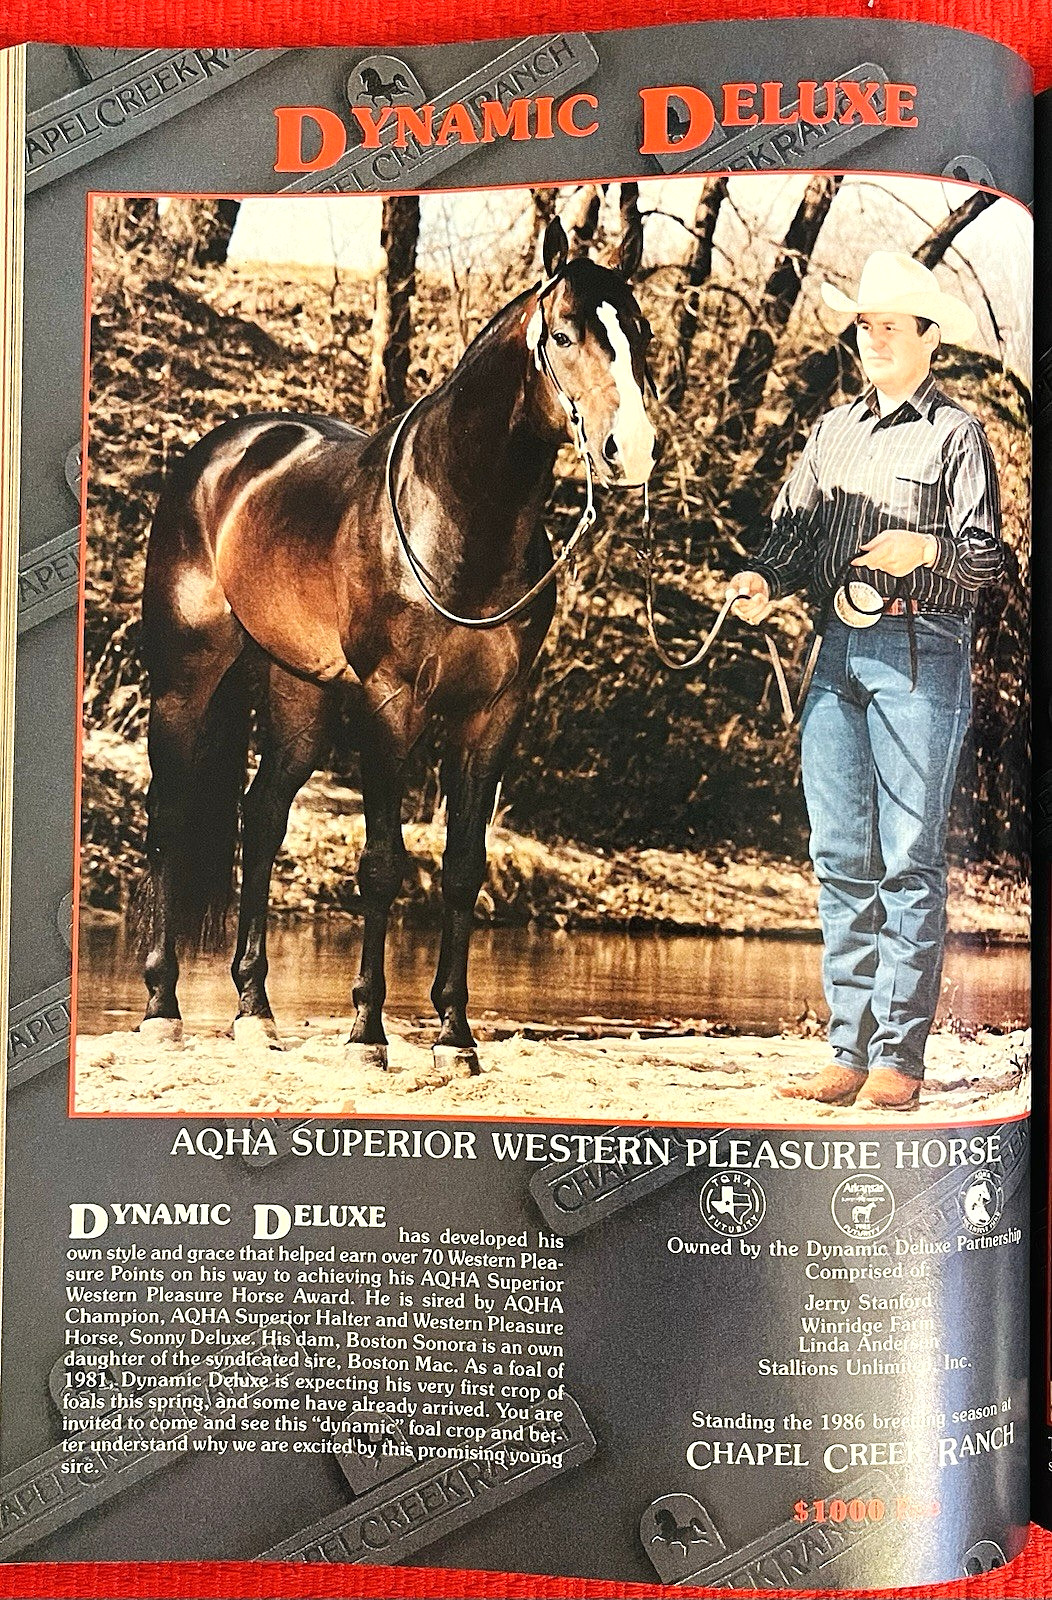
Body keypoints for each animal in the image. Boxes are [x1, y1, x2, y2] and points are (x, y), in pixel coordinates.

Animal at [136, 215, 657, 1074]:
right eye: (565, 332)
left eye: (640, 331)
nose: (631, 450)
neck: (456, 513)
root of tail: (220, 456)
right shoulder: (391, 704)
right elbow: (381, 865)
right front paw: (367, 1033)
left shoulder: (493, 714)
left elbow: (463, 868)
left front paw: (455, 1037)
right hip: (186, 679)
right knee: (170, 814)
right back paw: (161, 1007)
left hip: (301, 698)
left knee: (260, 817)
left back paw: (255, 1012)